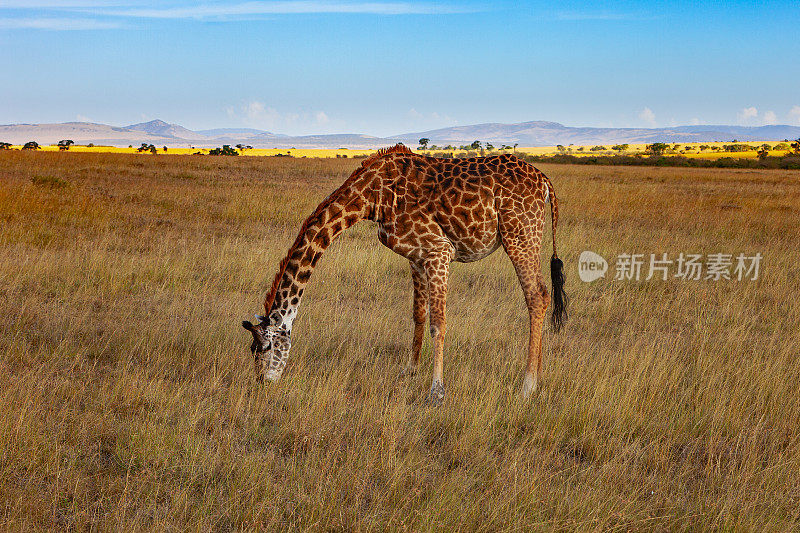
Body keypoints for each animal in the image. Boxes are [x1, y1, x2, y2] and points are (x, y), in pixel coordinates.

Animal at [241, 143, 564, 402]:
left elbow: (438, 323)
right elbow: (418, 315)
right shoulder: (417, 256)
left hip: (519, 234)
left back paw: (528, 385)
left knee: (537, 297)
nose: (262, 383)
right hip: (526, 236)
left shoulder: (439, 251)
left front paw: (436, 392)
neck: (372, 197)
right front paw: (410, 371)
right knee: (543, 295)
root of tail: (546, 181)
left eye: (265, 347)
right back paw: (537, 378)